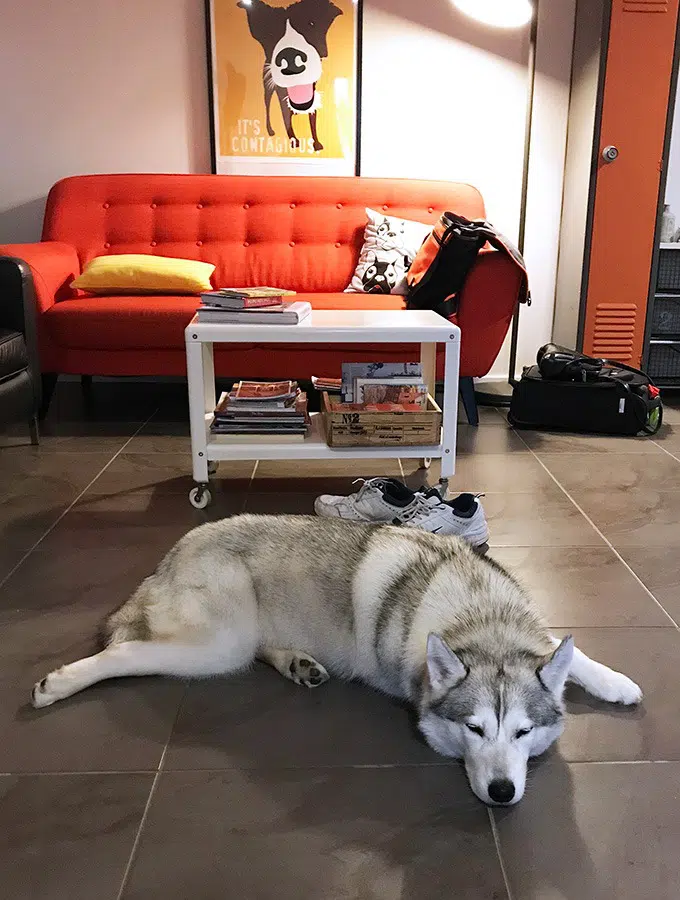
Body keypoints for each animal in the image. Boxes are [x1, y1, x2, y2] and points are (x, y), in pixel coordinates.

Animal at [30, 516, 644, 804]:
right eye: (474, 729)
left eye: (522, 732)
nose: (501, 793)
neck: (478, 617)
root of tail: (169, 555)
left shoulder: (535, 637)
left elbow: (571, 652)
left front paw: (616, 681)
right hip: (218, 643)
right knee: (126, 651)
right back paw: (59, 682)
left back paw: (298, 663)